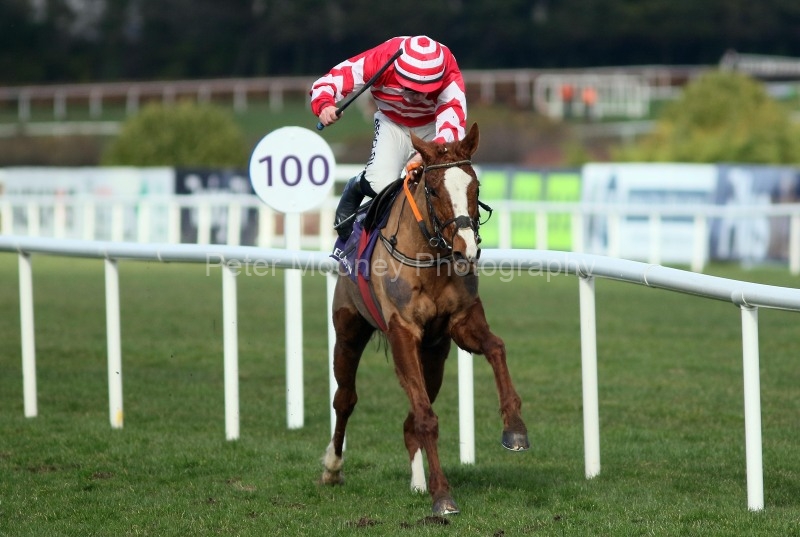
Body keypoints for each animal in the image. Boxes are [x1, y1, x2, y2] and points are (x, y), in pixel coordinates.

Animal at [321, 123, 529, 516]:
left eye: (476, 186)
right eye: (432, 189)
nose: (466, 249)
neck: (429, 257)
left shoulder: (460, 322)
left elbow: (497, 347)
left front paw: (515, 429)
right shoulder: (402, 331)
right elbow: (426, 418)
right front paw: (443, 495)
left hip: (434, 358)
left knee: (410, 417)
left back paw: (418, 482)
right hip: (349, 333)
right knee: (345, 399)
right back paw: (332, 468)